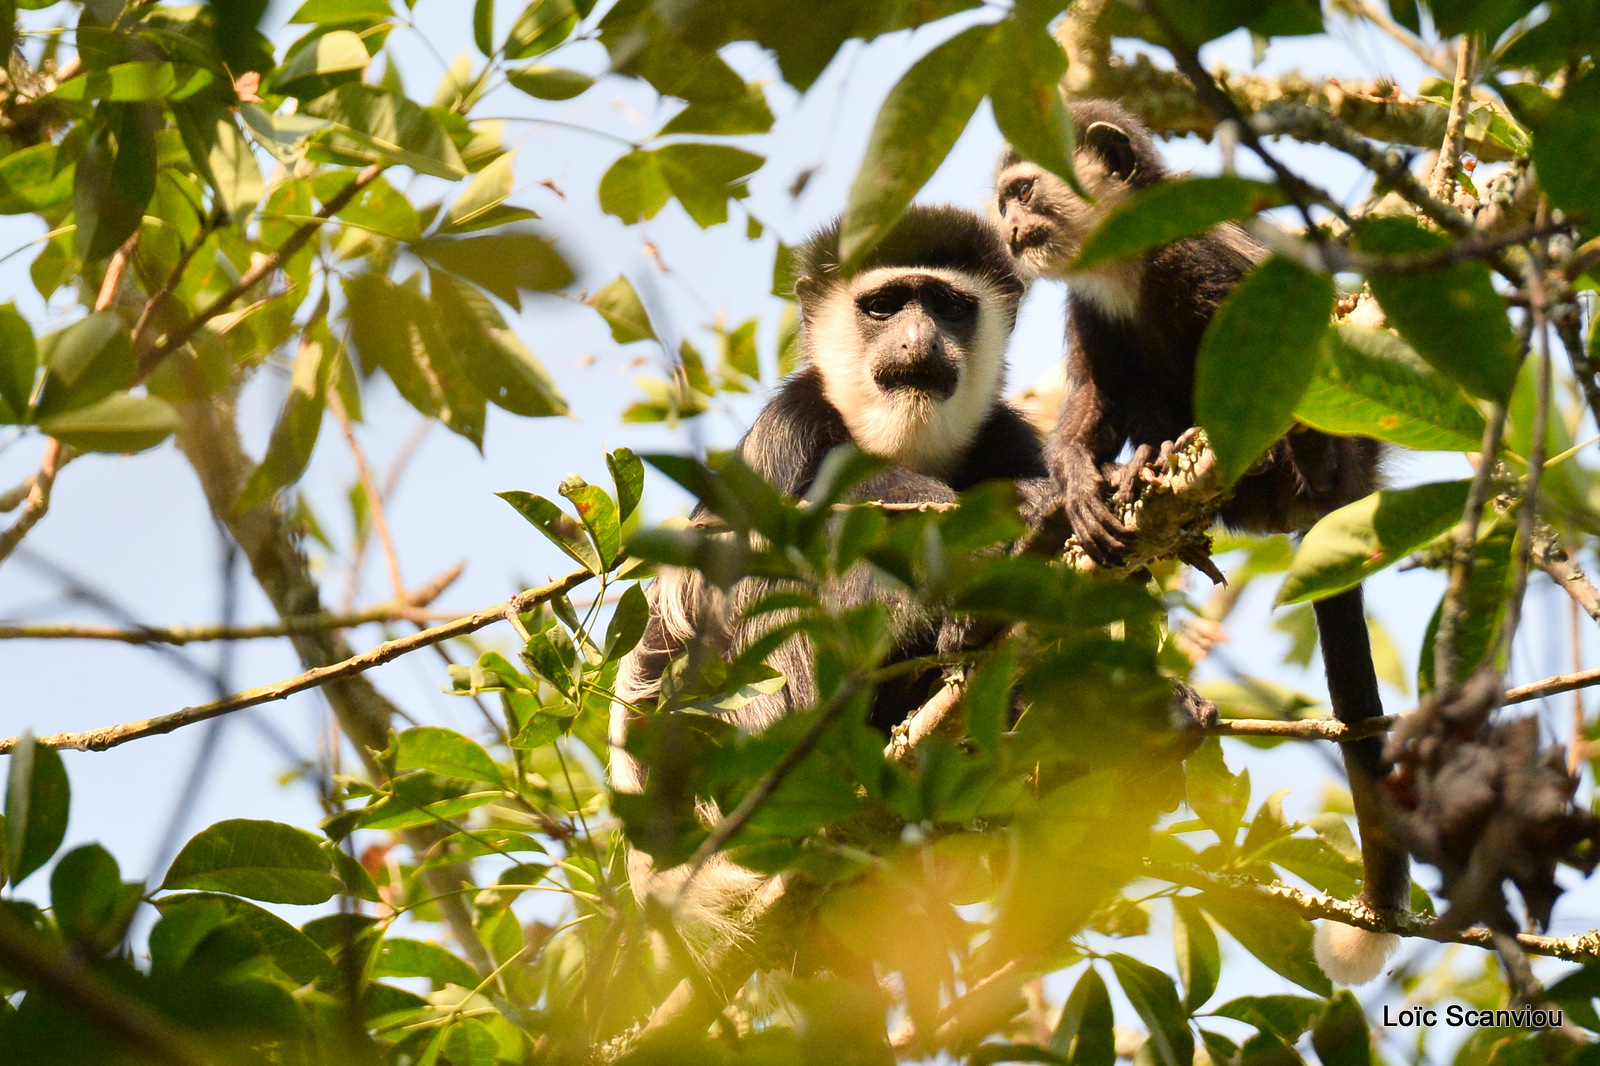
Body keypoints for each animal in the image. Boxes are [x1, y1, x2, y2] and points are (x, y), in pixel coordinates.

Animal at [992, 104, 1408, 985]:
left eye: (1023, 190)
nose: (1008, 228)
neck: (1124, 253)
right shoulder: (1089, 306)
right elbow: (1094, 403)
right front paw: (1081, 485)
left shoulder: (1192, 253)